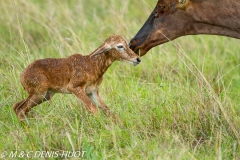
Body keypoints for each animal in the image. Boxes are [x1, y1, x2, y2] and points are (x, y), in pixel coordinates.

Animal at [13, 34, 141, 120]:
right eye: (120, 46)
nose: (137, 59)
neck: (91, 64)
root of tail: (22, 74)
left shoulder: (92, 92)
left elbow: (107, 110)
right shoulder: (75, 88)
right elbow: (93, 108)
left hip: (44, 96)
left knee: (16, 106)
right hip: (38, 94)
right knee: (20, 109)